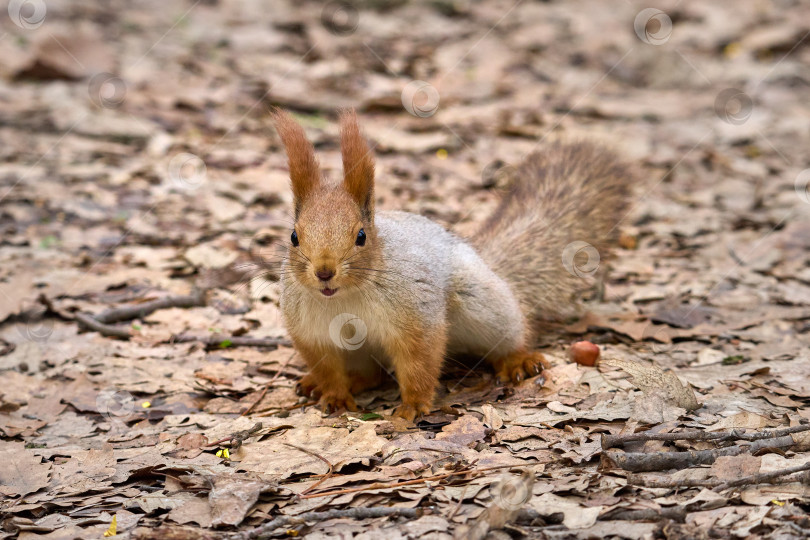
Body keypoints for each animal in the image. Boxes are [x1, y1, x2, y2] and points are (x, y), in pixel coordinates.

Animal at [272, 108, 632, 422]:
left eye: (361, 236)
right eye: (293, 236)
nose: (324, 272)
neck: (344, 296)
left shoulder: (417, 316)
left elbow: (419, 362)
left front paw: (414, 405)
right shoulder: (311, 333)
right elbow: (327, 369)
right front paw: (334, 396)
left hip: (483, 304)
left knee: (512, 333)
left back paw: (518, 359)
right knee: (369, 375)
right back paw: (318, 383)